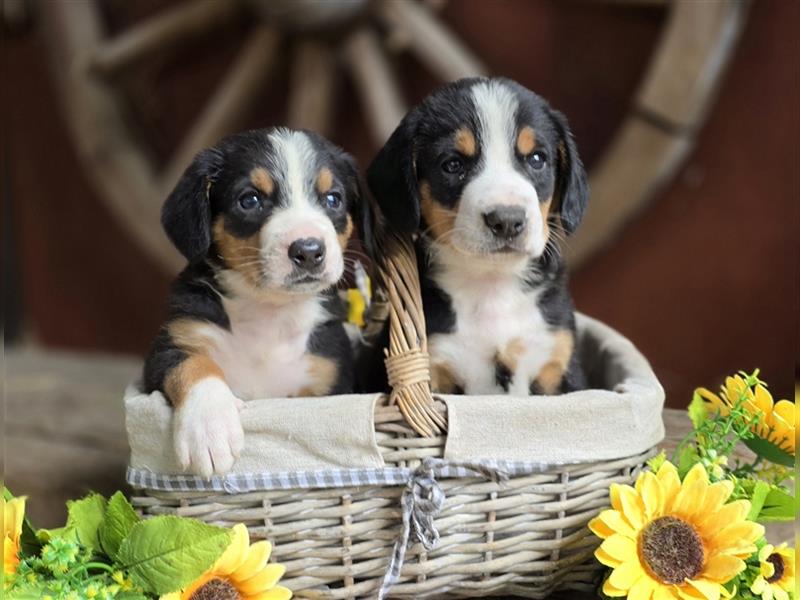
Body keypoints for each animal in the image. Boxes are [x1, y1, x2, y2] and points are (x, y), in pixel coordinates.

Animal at [145, 127, 366, 478]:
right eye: (250, 200)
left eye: (333, 199)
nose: (308, 250)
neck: (268, 312)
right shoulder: (174, 343)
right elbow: (195, 365)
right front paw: (209, 429)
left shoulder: (329, 377)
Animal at [360, 78, 592, 398]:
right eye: (453, 165)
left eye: (537, 159)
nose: (506, 220)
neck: (491, 286)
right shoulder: (436, 365)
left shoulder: (559, 364)